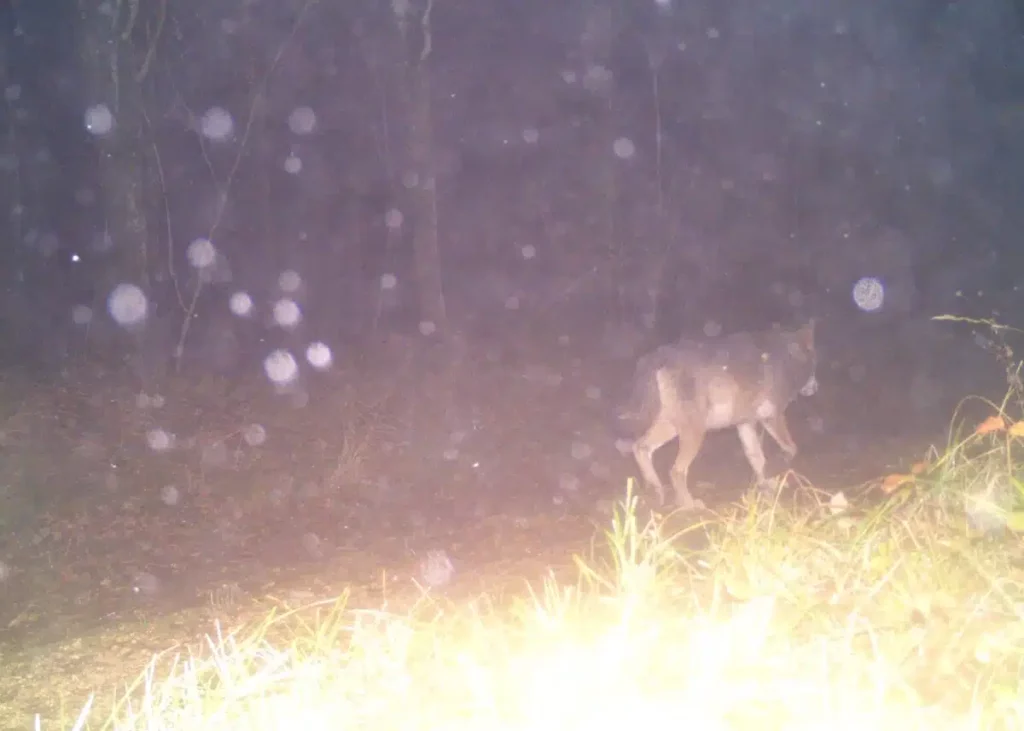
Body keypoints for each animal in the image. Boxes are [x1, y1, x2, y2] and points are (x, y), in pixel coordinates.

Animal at [614, 321, 823, 509]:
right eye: (815, 364)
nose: (815, 388)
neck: (786, 358)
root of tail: (657, 356)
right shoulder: (772, 417)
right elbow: (791, 449)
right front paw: (778, 470)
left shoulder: (745, 424)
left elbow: (757, 458)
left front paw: (765, 486)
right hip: (694, 432)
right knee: (676, 470)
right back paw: (689, 505)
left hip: (672, 427)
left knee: (640, 448)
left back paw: (657, 492)